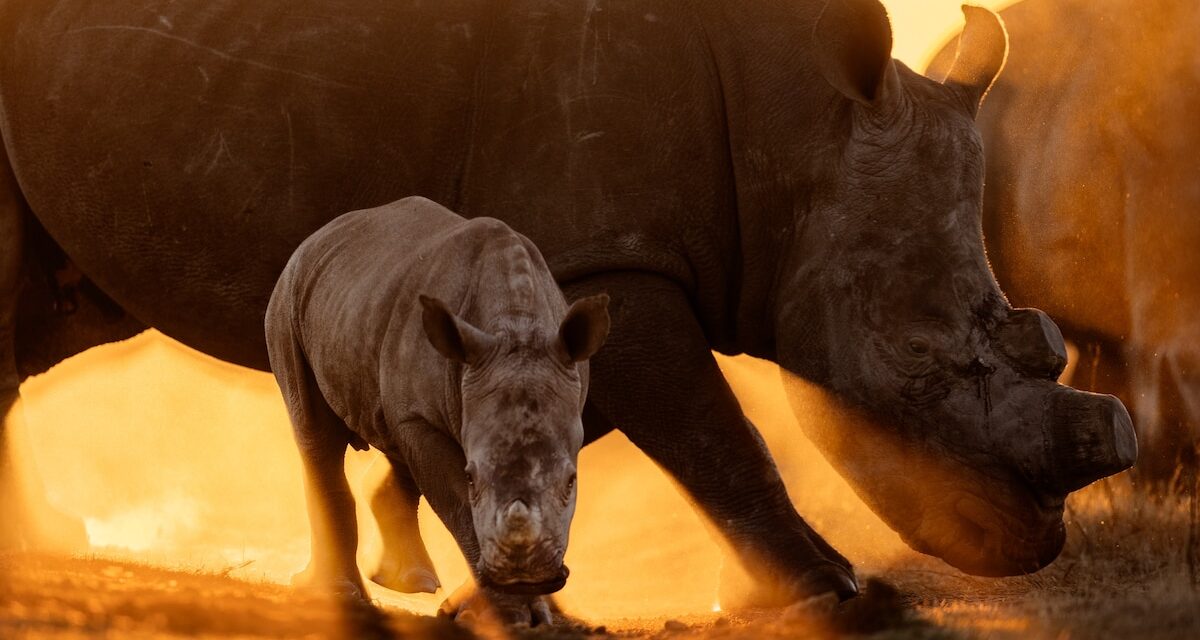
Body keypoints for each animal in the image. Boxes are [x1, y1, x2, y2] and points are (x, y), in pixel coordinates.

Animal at [266, 197, 608, 622]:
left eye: (572, 481)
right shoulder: (424, 418)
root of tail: (316, 236)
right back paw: (340, 593)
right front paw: (510, 615)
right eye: (472, 477)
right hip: (288, 298)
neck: (517, 328)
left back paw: (411, 583)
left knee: (392, 439)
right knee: (316, 435)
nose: (526, 578)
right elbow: (460, 506)